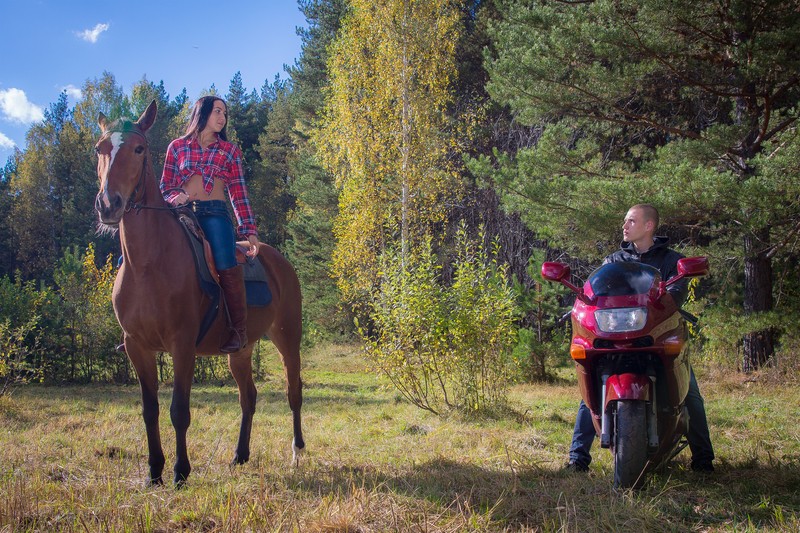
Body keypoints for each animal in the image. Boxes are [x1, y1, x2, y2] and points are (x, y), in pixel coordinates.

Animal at [93, 101, 304, 486]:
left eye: (140, 148)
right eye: (100, 149)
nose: (108, 204)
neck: (149, 264)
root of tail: (275, 258)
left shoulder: (182, 345)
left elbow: (179, 410)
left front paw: (180, 471)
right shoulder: (137, 347)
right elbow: (150, 410)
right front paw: (154, 472)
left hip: (287, 337)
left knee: (293, 391)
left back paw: (297, 453)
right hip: (241, 349)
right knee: (248, 397)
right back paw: (240, 455)